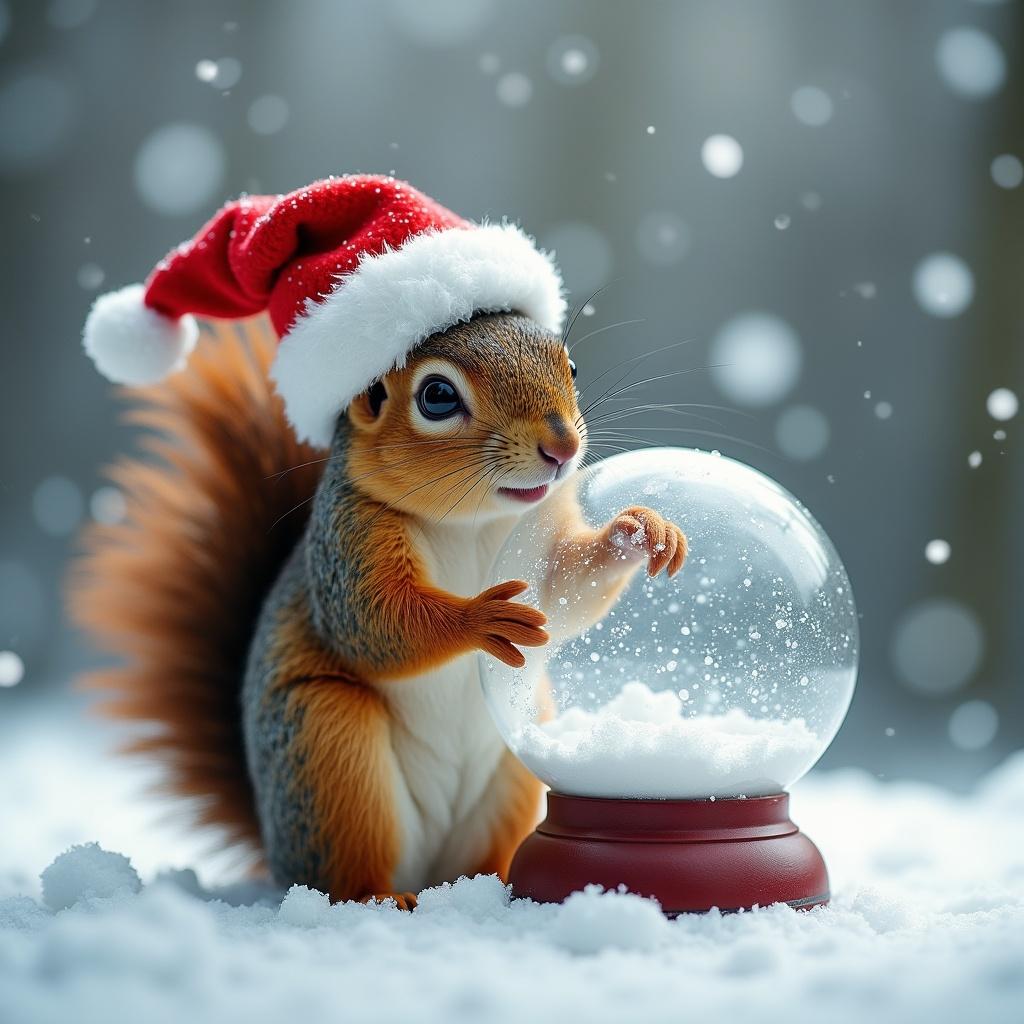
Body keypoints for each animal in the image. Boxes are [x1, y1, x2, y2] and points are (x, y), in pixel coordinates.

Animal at [74, 176, 688, 905]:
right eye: (437, 397)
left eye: (567, 362)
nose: (562, 447)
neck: (474, 521)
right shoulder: (352, 538)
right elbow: (374, 622)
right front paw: (480, 618)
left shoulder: (539, 537)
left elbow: (567, 590)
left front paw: (641, 530)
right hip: (328, 746)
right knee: (343, 870)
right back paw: (379, 896)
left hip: (511, 766)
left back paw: (496, 883)